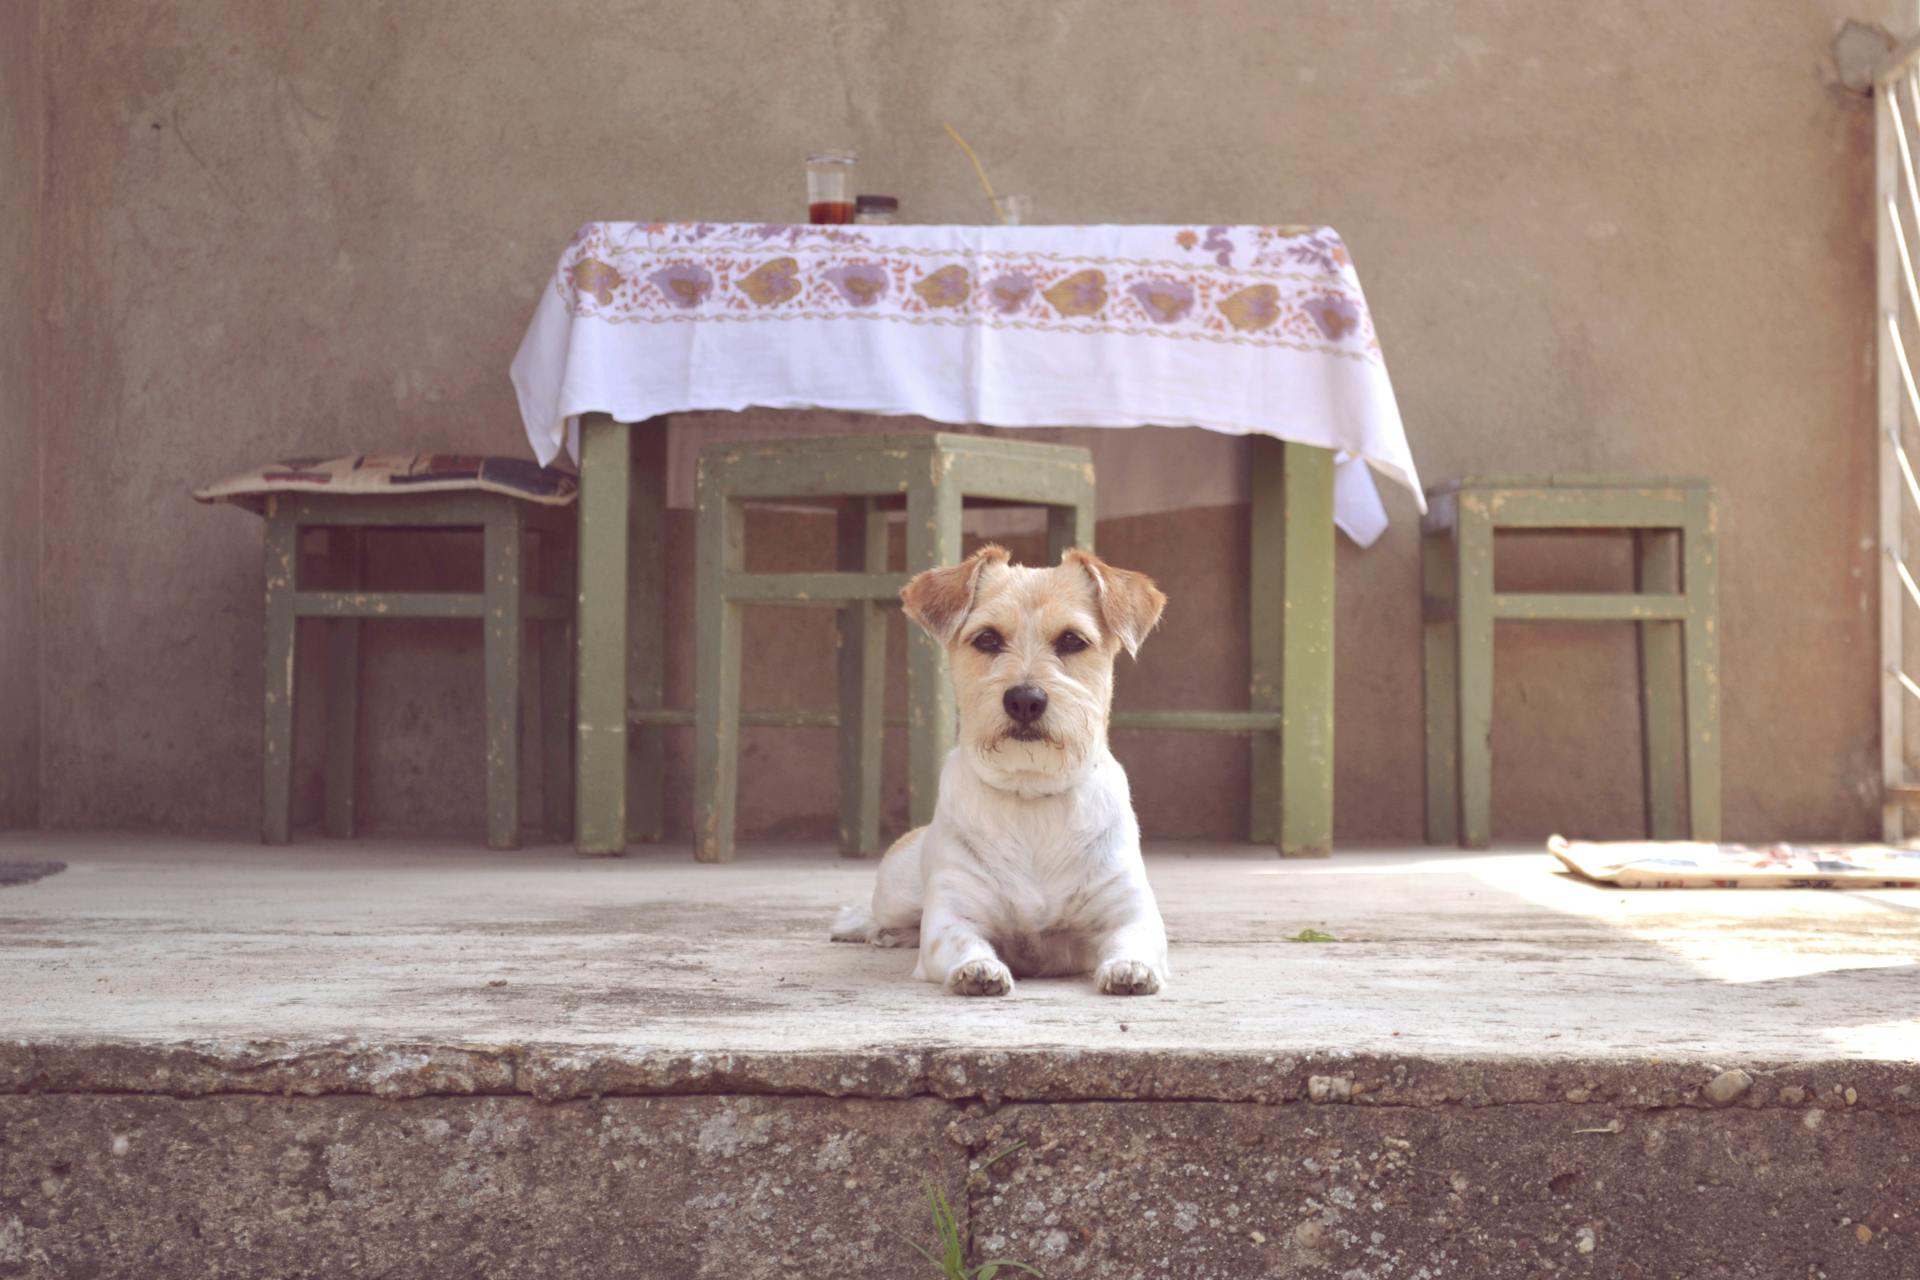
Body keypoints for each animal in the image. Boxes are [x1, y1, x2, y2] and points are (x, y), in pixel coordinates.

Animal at [829, 545, 1167, 997]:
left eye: (1072, 640)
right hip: (896, 893)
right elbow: (959, 941)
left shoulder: (1130, 912)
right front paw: (978, 969)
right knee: (880, 913)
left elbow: (1134, 939)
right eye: (987, 638)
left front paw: (1130, 967)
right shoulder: (951, 917)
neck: (1031, 796)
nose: (1025, 699)